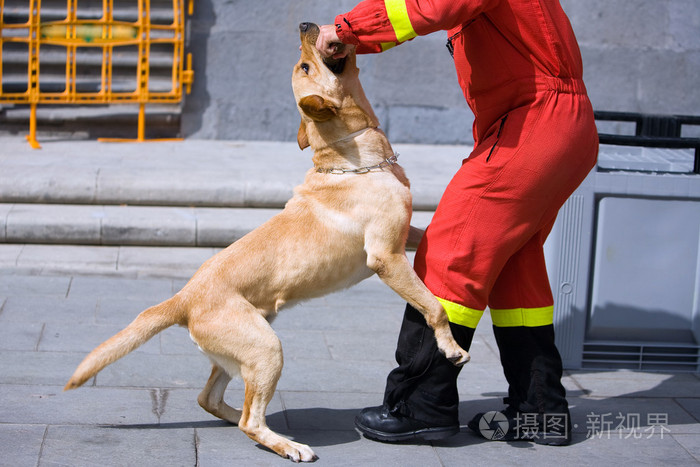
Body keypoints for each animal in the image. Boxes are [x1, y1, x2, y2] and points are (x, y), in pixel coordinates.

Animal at [65, 22, 470, 464]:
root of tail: (184, 297)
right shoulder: (386, 257)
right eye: (305, 64)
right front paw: (451, 348)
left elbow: (425, 236)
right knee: (250, 419)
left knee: (211, 399)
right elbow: (434, 307)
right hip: (267, 349)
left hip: (242, 353)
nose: (306, 25)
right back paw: (287, 444)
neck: (350, 159)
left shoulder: (403, 236)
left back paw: (237, 420)